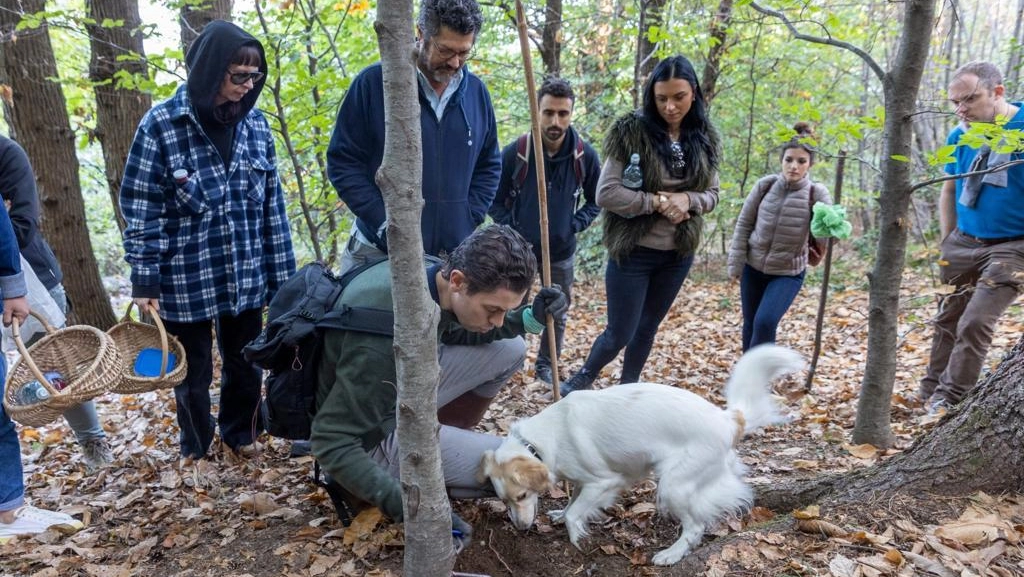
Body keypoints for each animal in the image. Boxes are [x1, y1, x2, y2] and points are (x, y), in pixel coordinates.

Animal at [475, 342, 802, 565]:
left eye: (521, 496)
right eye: (504, 500)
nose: (521, 529)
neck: (540, 440)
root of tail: (729, 419)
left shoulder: (603, 481)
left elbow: (577, 512)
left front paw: (576, 536)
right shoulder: (584, 481)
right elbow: (572, 503)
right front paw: (561, 514)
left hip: (673, 486)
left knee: (695, 526)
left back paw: (671, 554)